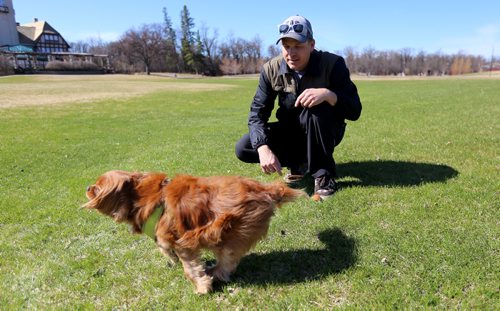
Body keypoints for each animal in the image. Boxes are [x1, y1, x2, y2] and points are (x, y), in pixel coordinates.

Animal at [83, 171, 302, 294]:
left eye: (97, 187)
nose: (86, 187)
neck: (142, 198)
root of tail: (265, 189)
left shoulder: (182, 240)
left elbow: (189, 267)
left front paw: (202, 287)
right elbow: (166, 249)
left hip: (231, 226)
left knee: (227, 260)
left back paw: (215, 272)